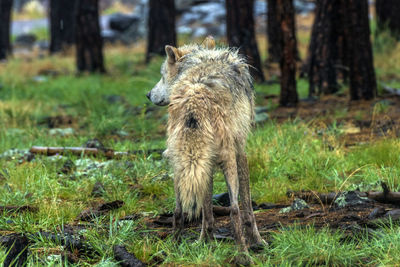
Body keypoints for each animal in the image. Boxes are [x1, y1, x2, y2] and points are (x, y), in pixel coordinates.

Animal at [145, 36, 264, 252]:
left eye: (162, 75)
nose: (148, 95)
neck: (201, 58)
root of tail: (196, 95)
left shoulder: (204, 164)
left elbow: (206, 208)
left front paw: (205, 240)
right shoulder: (241, 153)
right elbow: (248, 208)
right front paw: (258, 241)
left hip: (180, 164)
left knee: (179, 210)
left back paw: (175, 247)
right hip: (227, 160)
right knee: (234, 209)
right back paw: (243, 254)